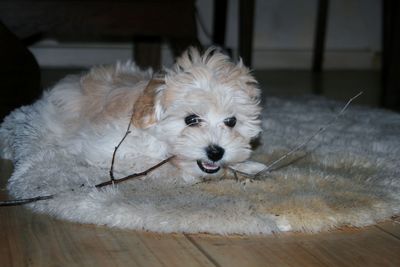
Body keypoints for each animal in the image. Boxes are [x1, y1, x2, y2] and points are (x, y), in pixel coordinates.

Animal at [0, 47, 266, 184]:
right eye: (191, 120)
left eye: (231, 122)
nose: (216, 152)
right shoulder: (108, 150)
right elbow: (155, 165)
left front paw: (247, 166)